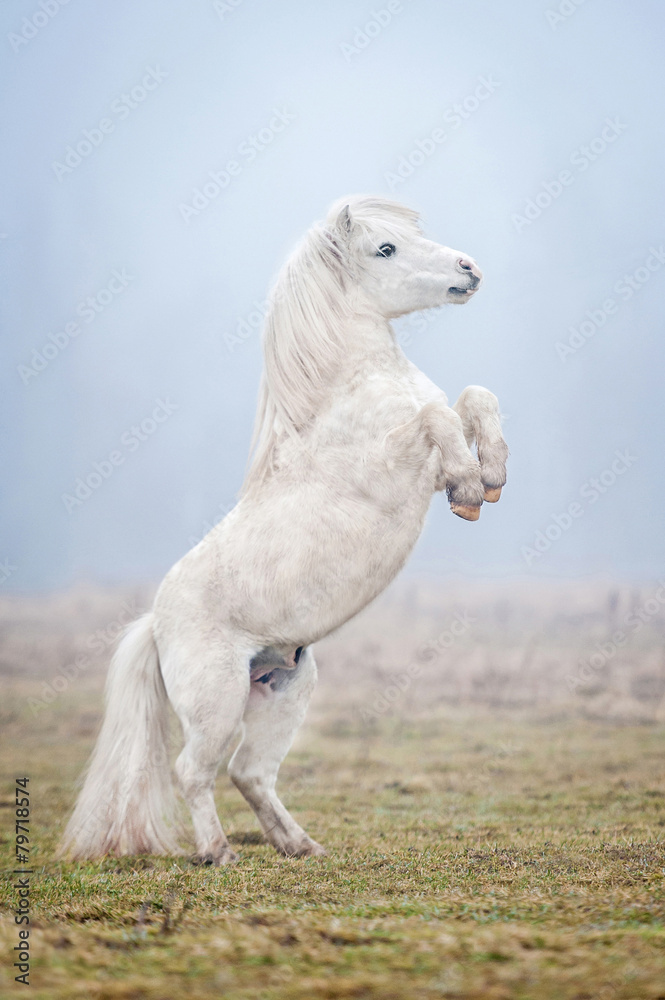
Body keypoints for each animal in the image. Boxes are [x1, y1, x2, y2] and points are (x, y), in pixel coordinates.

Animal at [61, 197, 508, 868]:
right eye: (385, 248)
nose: (470, 269)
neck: (351, 394)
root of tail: (156, 623)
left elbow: (475, 398)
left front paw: (492, 478)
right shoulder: (395, 465)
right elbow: (436, 417)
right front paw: (468, 491)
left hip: (285, 692)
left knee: (249, 773)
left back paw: (302, 846)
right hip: (217, 705)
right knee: (195, 771)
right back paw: (218, 853)